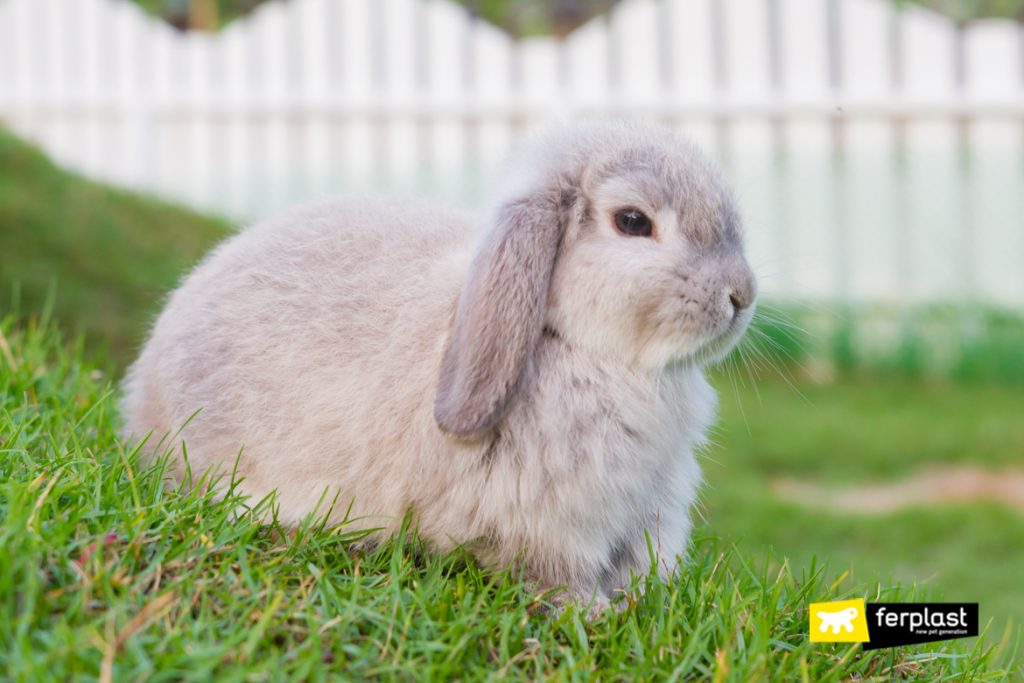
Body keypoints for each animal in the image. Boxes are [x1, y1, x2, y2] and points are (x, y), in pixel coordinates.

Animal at [121, 120, 757, 615]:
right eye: (632, 221)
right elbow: (554, 575)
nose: (741, 295)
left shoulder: (650, 513)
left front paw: (642, 601)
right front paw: (594, 613)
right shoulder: (550, 529)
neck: (580, 347)